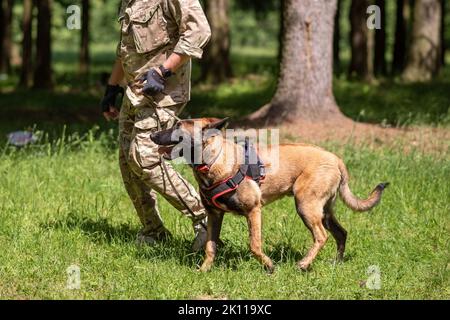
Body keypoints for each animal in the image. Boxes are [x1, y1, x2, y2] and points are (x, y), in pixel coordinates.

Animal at [149, 117, 388, 272]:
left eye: (178, 126)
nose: (151, 134)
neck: (214, 159)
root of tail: (335, 158)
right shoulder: (215, 215)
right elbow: (210, 246)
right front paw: (204, 270)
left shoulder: (254, 211)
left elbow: (254, 245)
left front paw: (269, 266)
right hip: (324, 211)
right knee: (341, 233)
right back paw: (336, 264)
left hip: (306, 206)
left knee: (322, 236)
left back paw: (304, 264)